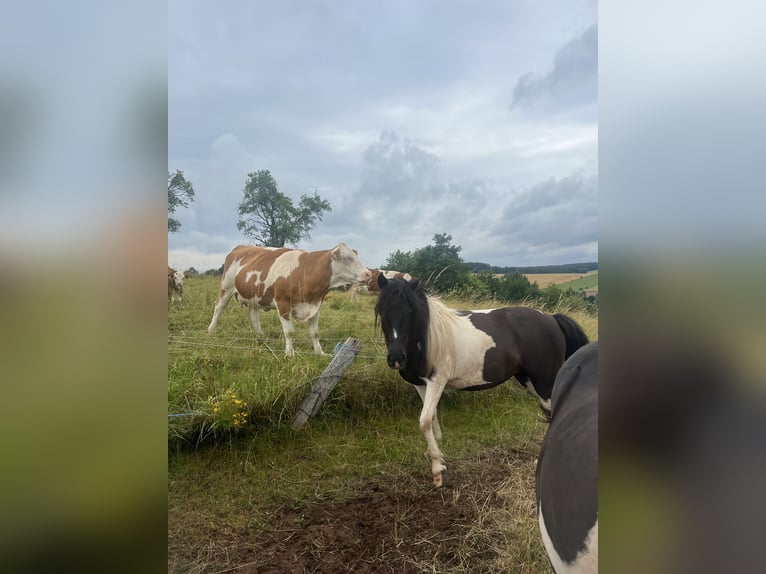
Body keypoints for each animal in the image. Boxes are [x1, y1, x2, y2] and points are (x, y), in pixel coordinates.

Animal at [373, 275, 589, 487]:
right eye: (382, 310)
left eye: (410, 311)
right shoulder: (420, 384)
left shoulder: (437, 381)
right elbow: (432, 417)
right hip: (528, 380)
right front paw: (438, 458)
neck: (428, 338)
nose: (396, 358)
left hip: (544, 382)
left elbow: (425, 421)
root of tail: (551, 318)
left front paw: (438, 471)